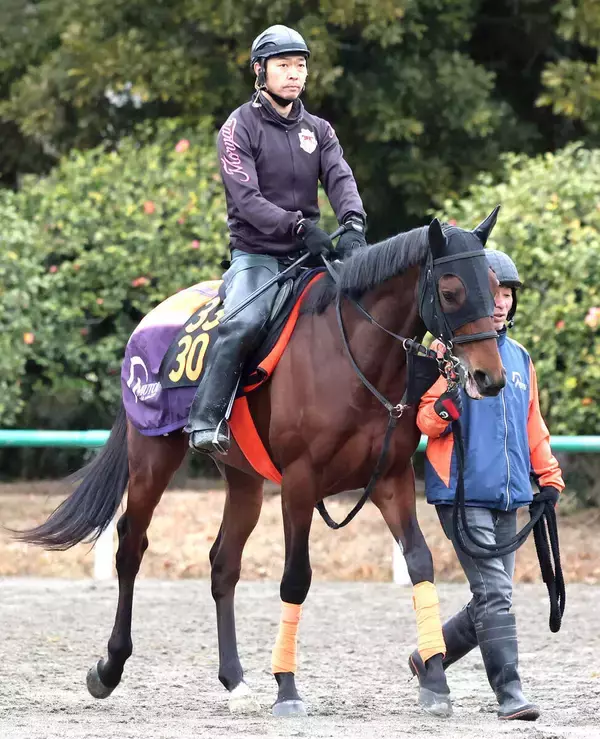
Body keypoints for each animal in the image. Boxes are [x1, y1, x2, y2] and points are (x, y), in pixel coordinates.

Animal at [17, 211, 506, 718]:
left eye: (493, 286)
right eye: (450, 290)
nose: (489, 377)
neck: (350, 355)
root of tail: (153, 317)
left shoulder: (392, 480)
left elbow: (419, 562)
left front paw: (435, 680)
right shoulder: (299, 484)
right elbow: (295, 580)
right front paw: (287, 688)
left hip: (244, 482)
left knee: (222, 564)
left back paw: (234, 679)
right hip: (152, 458)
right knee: (131, 546)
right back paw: (109, 668)